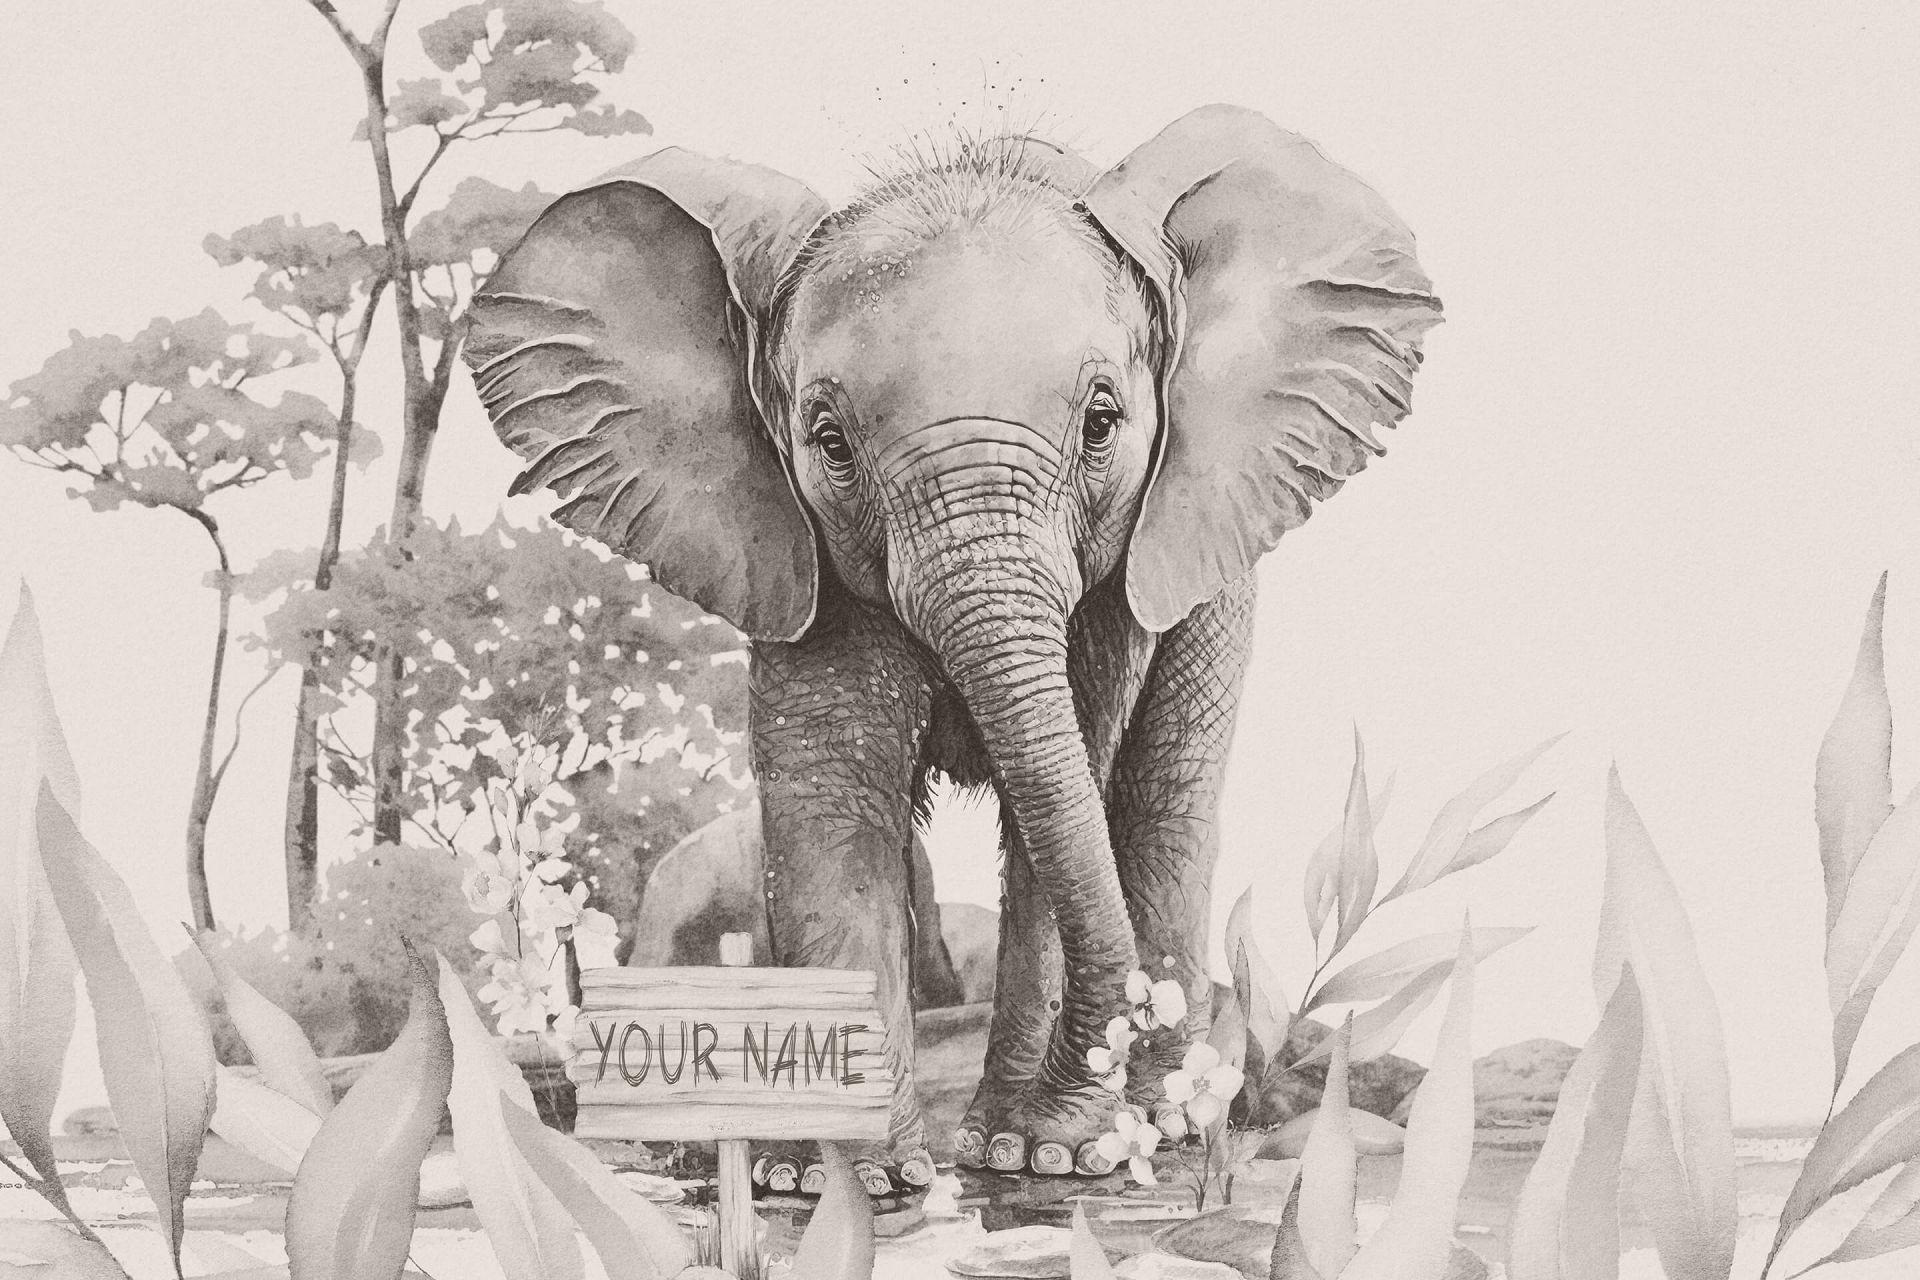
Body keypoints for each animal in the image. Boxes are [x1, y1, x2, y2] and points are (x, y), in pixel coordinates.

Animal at [463, 104, 1441, 1181]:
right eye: (829, 440)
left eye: (1102, 422)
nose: (1128, 1023)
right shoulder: (794, 547)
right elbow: (838, 792)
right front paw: (832, 1173)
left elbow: (1062, 792)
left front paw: (1040, 1153)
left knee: (1160, 800)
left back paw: (1158, 1118)